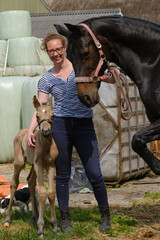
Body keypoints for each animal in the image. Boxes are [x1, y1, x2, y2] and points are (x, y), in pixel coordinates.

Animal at [4, 95, 58, 236]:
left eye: (53, 115)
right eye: (37, 116)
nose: (45, 131)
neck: (45, 145)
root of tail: (21, 131)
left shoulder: (51, 164)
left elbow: (51, 193)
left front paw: (55, 226)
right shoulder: (39, 164)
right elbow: (43, 194)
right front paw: (40, 229)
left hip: (33, 165)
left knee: (30, 181)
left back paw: (35, 216)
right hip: (19, 162)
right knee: (14, 183)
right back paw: (7, 219)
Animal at [54, 15, 160, 175]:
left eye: (85, 52)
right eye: (69, 57)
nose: (84, 97)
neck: (155, 65)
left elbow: (136, 139)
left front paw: (157, 165)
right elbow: (137, 140)